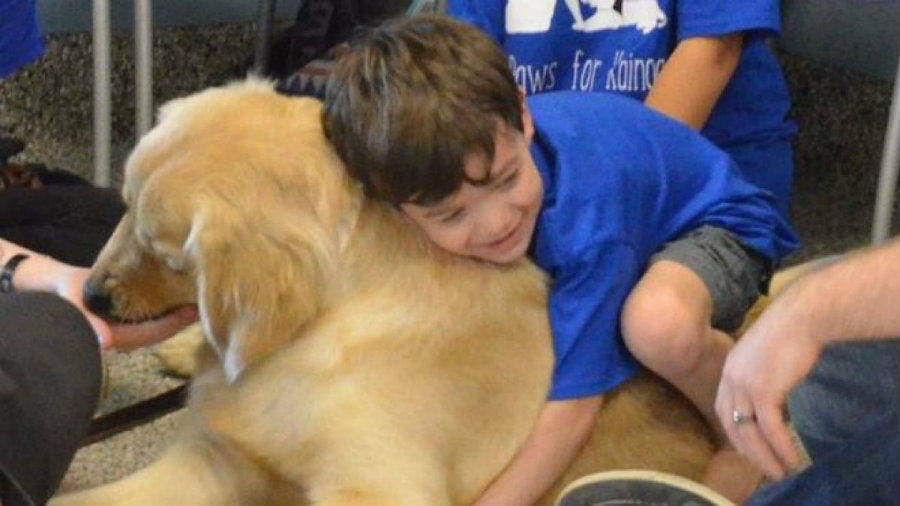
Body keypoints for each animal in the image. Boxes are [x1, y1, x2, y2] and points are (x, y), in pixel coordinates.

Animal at [58, 80, 716, 506]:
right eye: (122, 205)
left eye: (166, 254)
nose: (90, 297)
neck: (332, 320)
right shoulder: (219, 453)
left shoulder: (379, 483)